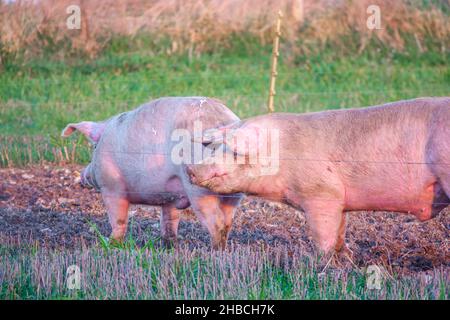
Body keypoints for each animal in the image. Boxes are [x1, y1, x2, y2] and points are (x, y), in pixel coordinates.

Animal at [62, 96, 243, 249]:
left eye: (94, 147)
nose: (83, 176)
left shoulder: (111, 186)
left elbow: (118, 218)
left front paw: (112, 244)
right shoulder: (171, 197)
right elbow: (169, 220)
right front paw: (170, 246)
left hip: (199, 188)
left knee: (217, 223)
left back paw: (214, 250)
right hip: (233, 193)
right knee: (227, 221)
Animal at [185, 97, 448, 255]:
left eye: (235, 151)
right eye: (215, 148)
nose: (191, 169)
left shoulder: (321, 193)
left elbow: (324, 235)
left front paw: (323, 263)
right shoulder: (340, 200)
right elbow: (340, 231)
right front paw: (344, 259)